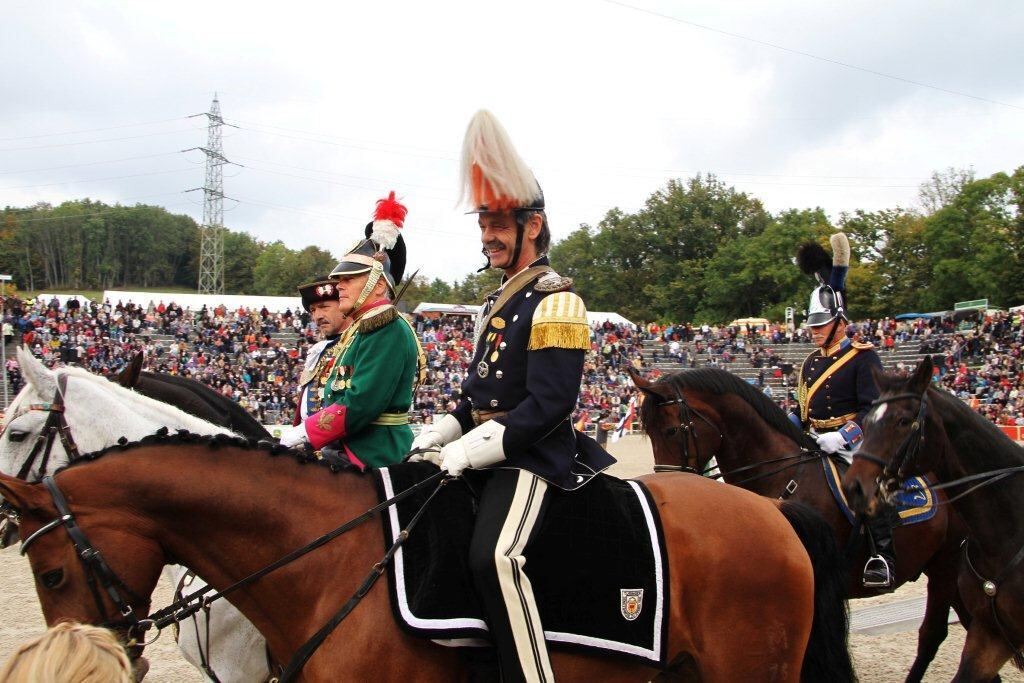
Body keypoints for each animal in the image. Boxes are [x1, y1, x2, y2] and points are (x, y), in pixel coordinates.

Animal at [626, 368, 970, 683]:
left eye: (672, 431)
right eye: (651, 434)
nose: (667, 483)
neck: (784, 476)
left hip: (945, 565)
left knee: (935, 633)